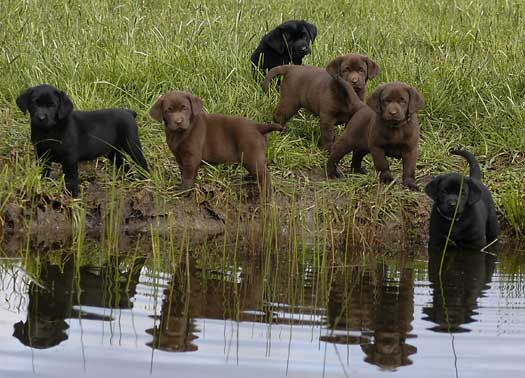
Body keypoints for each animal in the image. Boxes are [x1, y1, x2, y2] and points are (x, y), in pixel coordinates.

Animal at [16, 84, 147, 196]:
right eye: (35, 103)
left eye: (52, 105)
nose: (41, 118)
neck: (48, 131)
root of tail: (129, 112)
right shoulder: (42, 155)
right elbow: (43, 173)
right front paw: (43, 187)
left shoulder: (69, 159)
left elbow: (71, 180)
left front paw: (72, 197)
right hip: (113, 153)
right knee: (126, 166)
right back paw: (131, 181)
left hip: (132, 145)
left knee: (142, 163)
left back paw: (145, 180)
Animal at [149, 91, 280, 196]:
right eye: (168, 111)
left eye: (185, 108)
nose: (178, 121)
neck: (179, 133)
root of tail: (258, 126)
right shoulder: (179, 157)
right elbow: (184, 172)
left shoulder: (191, 157)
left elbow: (187, 175)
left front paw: (184, 191)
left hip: (252, 156)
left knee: (265, 176)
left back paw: (266, 194)